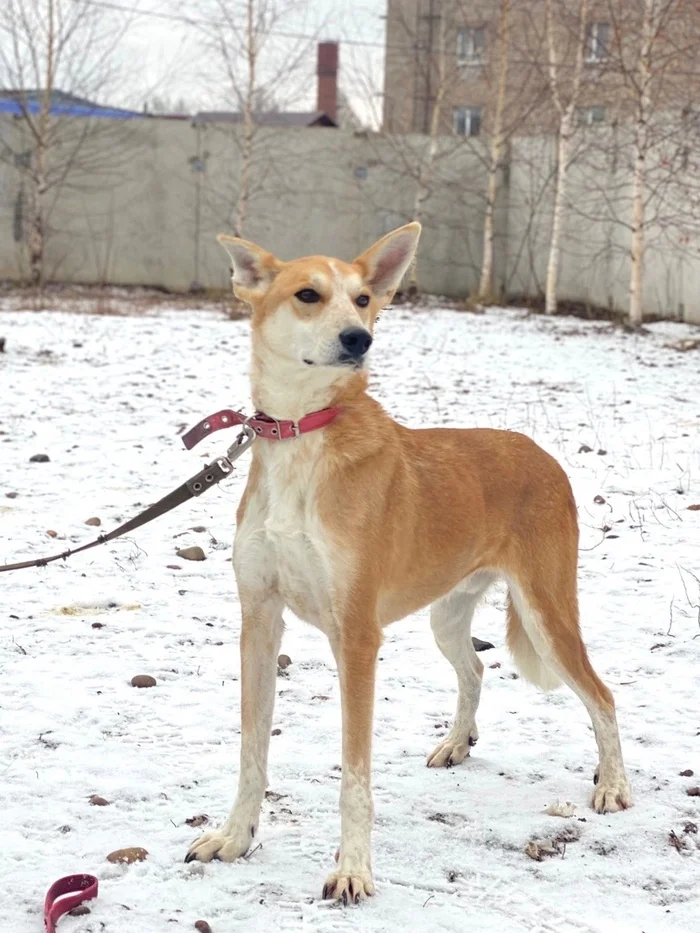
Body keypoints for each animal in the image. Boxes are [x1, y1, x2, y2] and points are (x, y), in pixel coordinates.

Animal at [185, 222, 628, 900]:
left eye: (364, 299)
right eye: (308, 294)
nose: (358, 339)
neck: (302, 435)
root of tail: (540, 452)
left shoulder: (356, 637)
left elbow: (355, 777)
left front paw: (352, 870)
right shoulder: (258, 620)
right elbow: (251, 751)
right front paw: (235, 838)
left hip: (547, 612)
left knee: (602, 697)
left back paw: (614, 786)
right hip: (446, 614)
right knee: (475, 670)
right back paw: (457, 744)